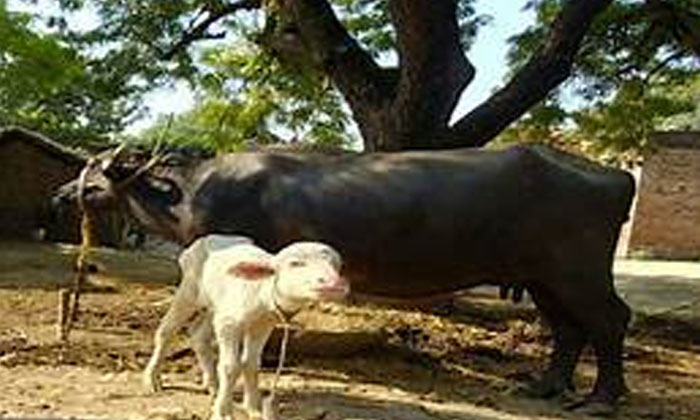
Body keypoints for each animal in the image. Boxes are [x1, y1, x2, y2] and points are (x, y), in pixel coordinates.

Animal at [52, 144, 635, 415]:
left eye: (95, 174)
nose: (61, 194)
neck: (189, 194)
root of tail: (616, 176)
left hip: (576, 271)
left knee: (610, 319)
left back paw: (602, 398)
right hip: (542, 278)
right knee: (567, 329)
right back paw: (546, 386)